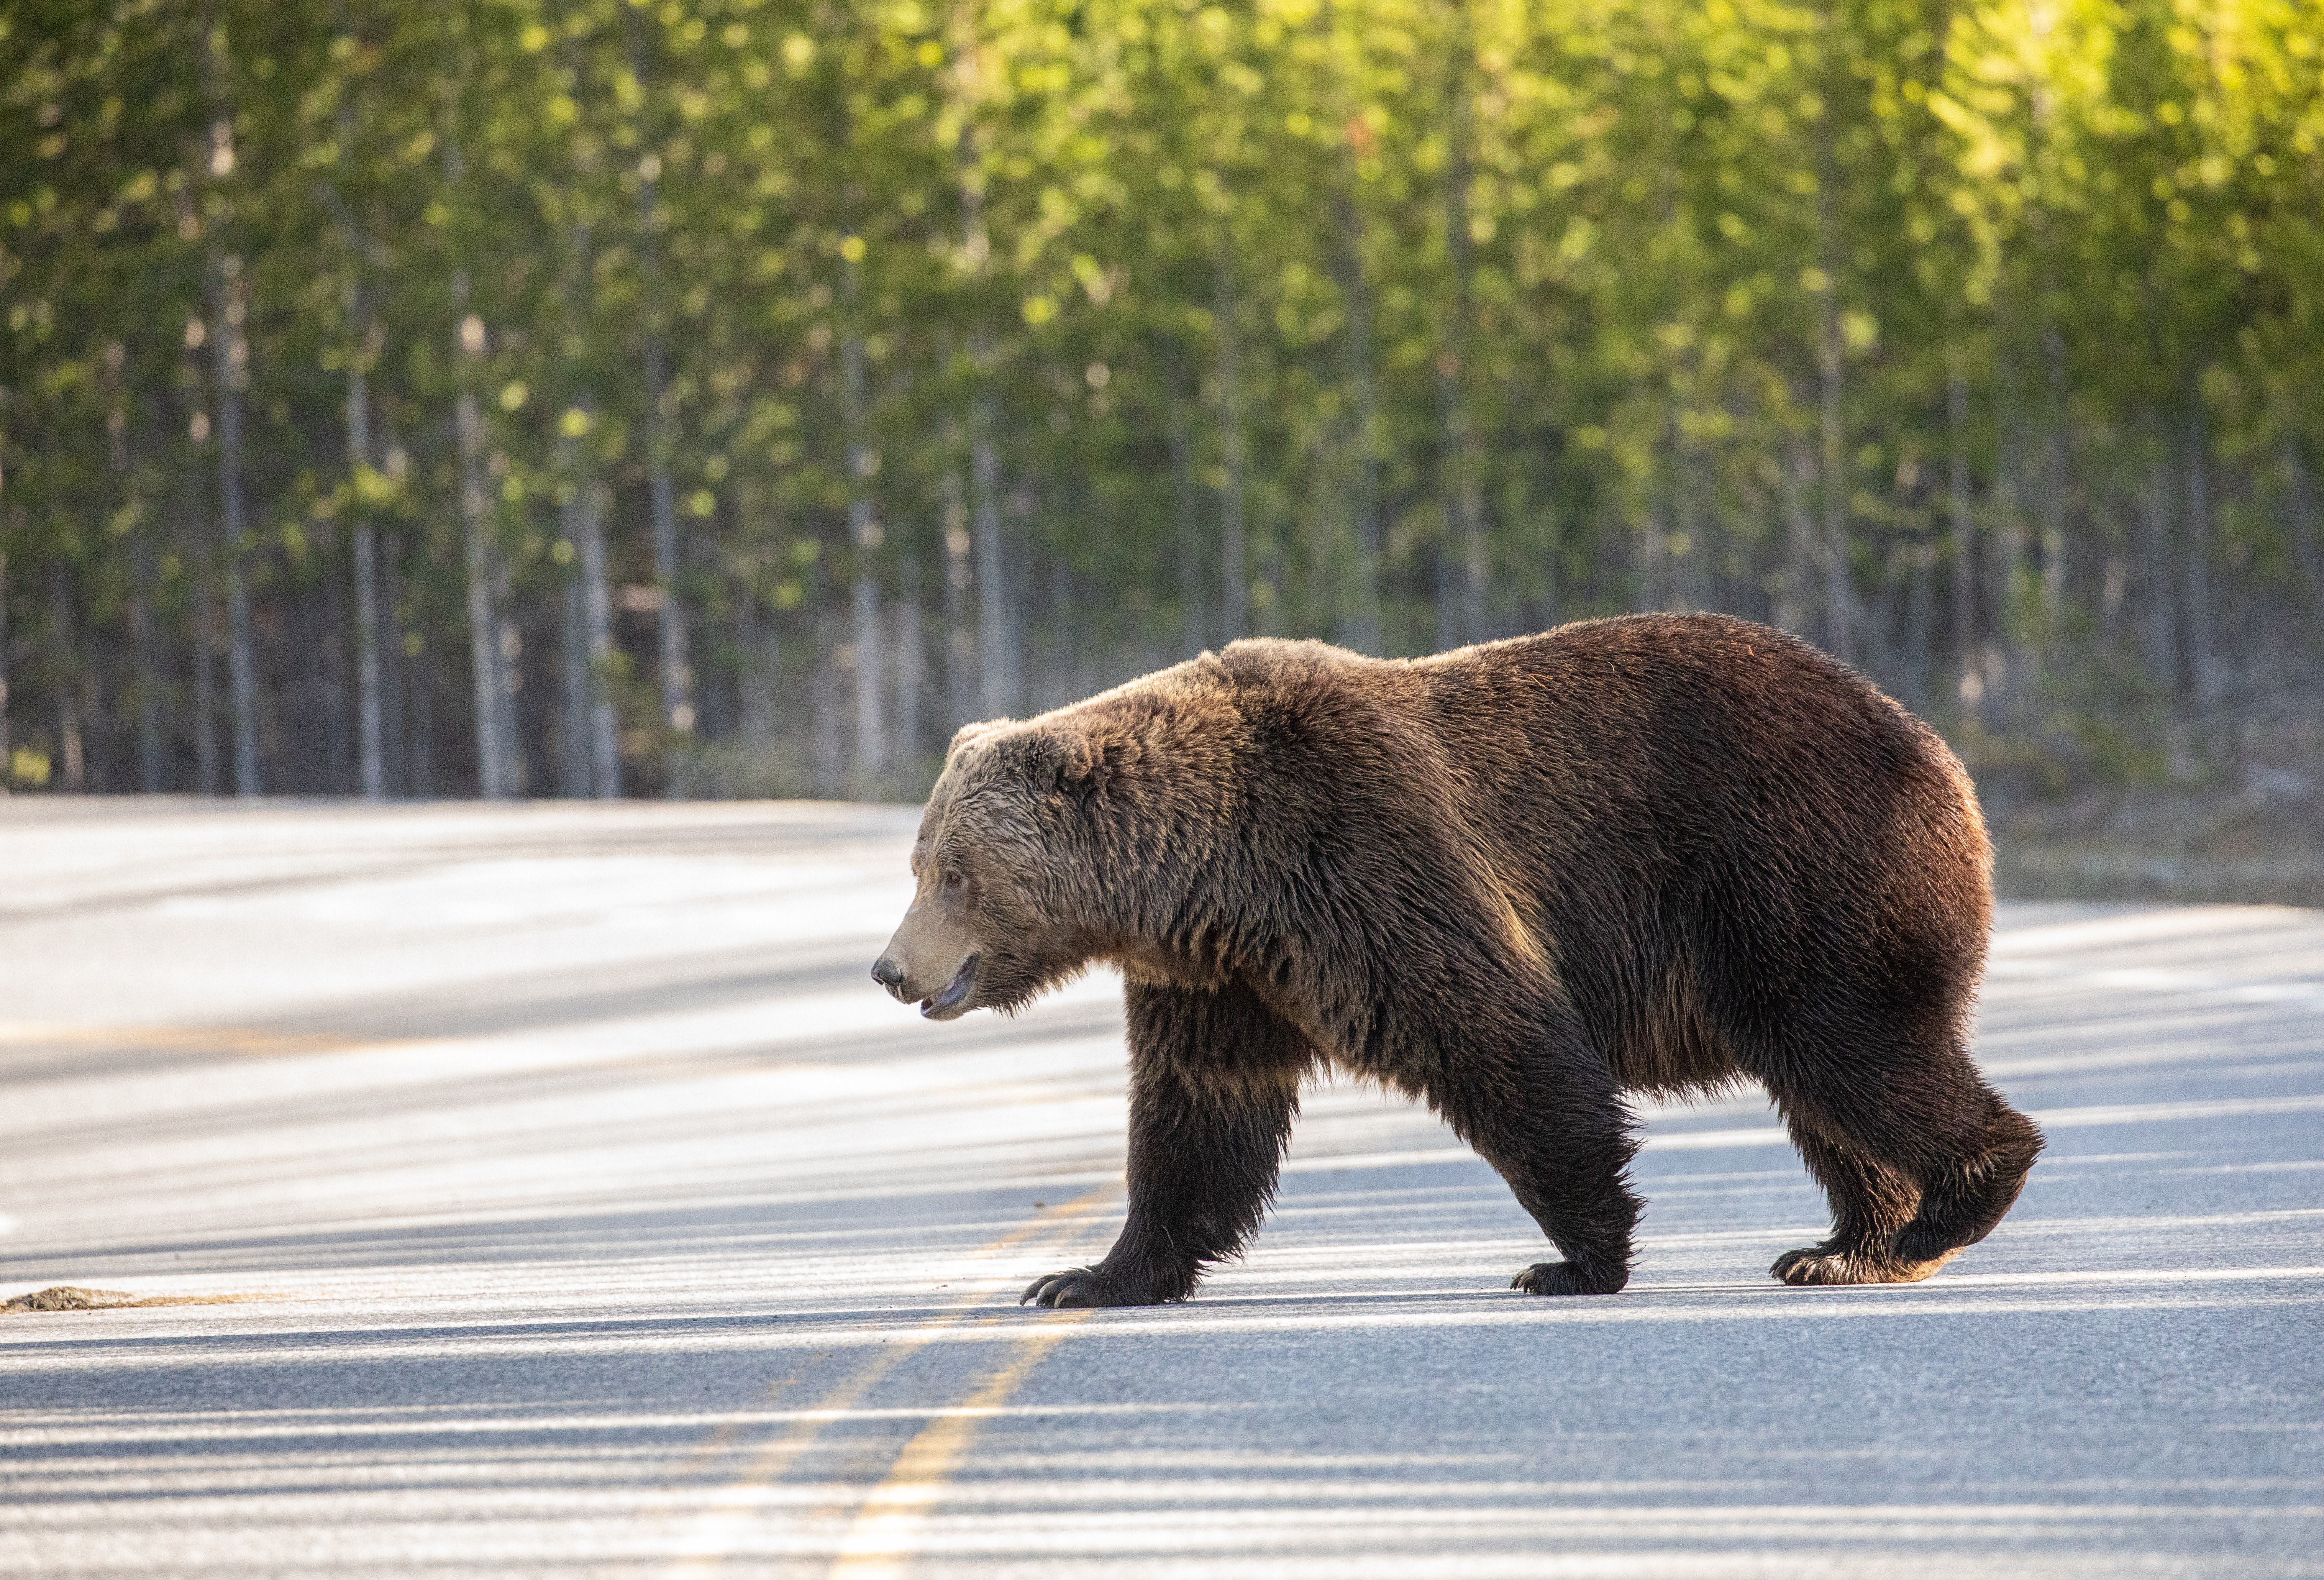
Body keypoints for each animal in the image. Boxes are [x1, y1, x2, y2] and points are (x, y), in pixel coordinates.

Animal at [871, 613, 2043, 1306]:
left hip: (1795, 872)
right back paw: (1851, 1244)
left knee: (1850, 1047)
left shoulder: (1361, 852)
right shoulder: (1222, 975)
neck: (1213, 871)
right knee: (1827, 1085)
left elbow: (1498, 1038)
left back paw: (1954, 1197)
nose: (892, 968)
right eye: (920, 860)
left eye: (954, 874)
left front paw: (1573, 1259)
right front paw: (1088, 1274)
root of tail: (1940, 753)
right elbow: (1197, 1116)